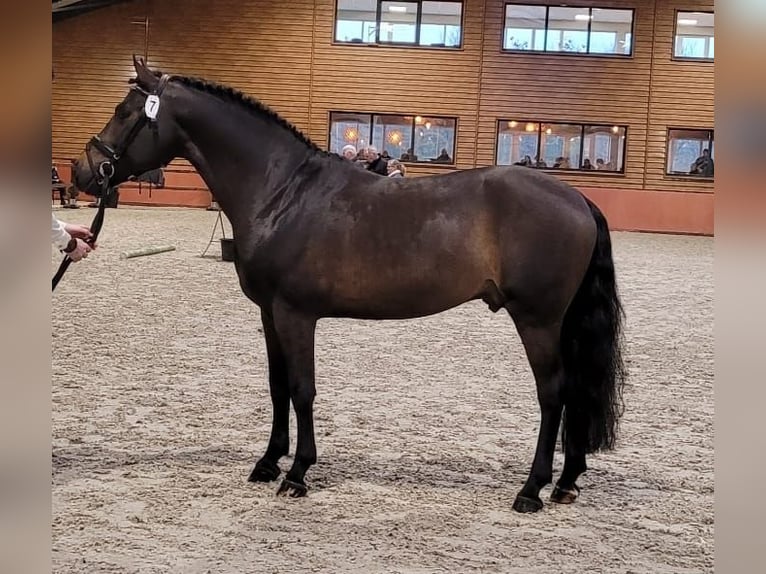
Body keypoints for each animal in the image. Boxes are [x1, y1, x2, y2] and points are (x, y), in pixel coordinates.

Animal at [72, 57, 628, 512]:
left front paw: (297, 474)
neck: (282, 191)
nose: (82, 171)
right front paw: (268, 462)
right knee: (575, 390)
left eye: (125, 112)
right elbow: (277, 387)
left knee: (553, 393)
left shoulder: (296, 314)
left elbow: (302, 389)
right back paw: (566, 482)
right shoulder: (269, 314)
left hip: (538, 320)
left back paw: (531, 490)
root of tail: (578, 199)